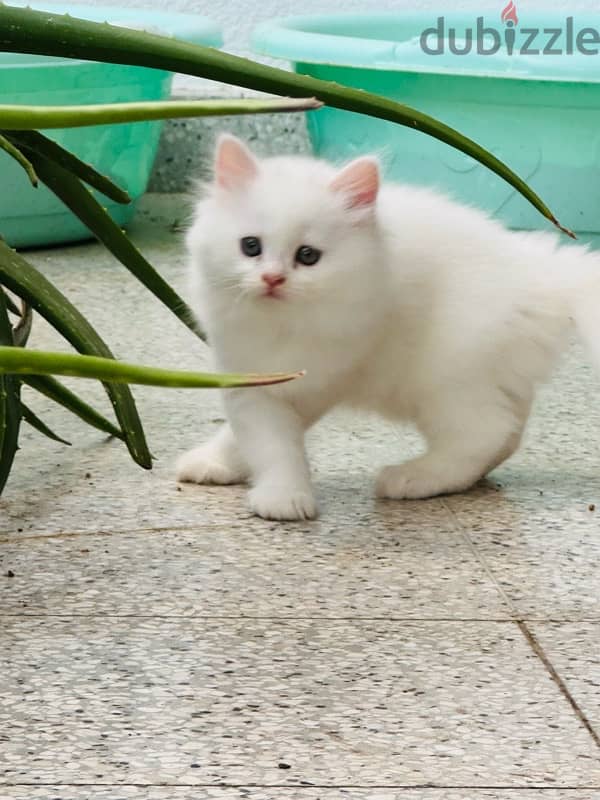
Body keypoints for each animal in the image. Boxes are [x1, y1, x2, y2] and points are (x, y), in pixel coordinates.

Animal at [177, 134, 600, 520]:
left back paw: (413, 478)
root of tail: (542, 273)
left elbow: (278, 447)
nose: (272, 279)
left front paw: (282, 499)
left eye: (308, 256)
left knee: (484, 434)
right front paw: (214, 464)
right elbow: (252, 440)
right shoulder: (247, 379)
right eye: (250, 246)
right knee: (508, 435)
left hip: (448, 381)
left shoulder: (315, 380)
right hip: (495, 380)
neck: (279, 324)